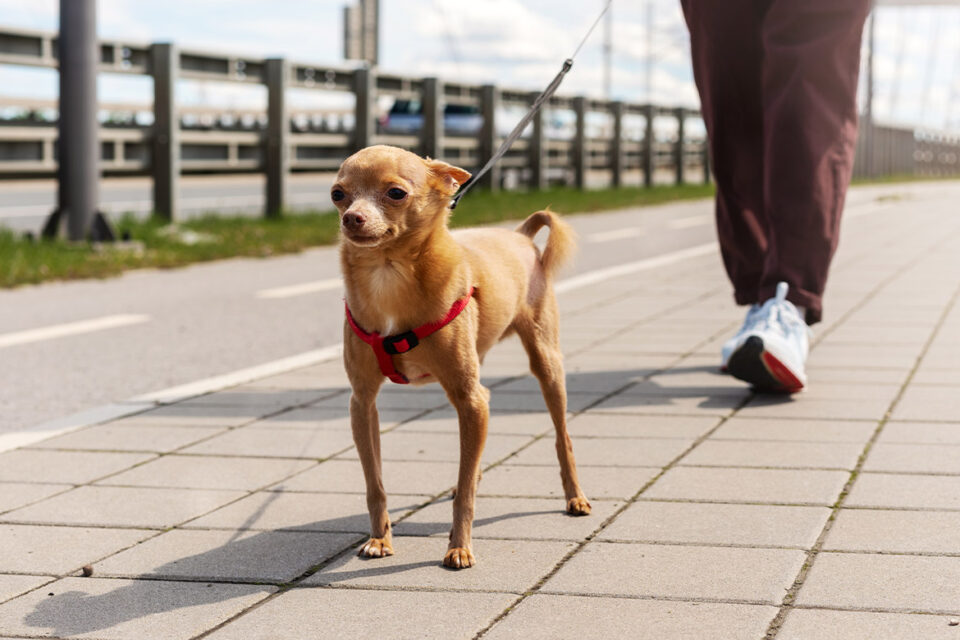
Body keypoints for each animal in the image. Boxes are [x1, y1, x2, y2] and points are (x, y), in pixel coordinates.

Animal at [334, 146, 588, 568]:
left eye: (395, 193)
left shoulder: (470, 399)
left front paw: (459, 546)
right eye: (337, 194)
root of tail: (519, 235)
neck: (389, 274)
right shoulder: (363, 403)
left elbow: (466, 493)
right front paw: (380, 539)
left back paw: (575, 497)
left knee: (561, 437)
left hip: (546, 365)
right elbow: (375, 481)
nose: (351, 217)